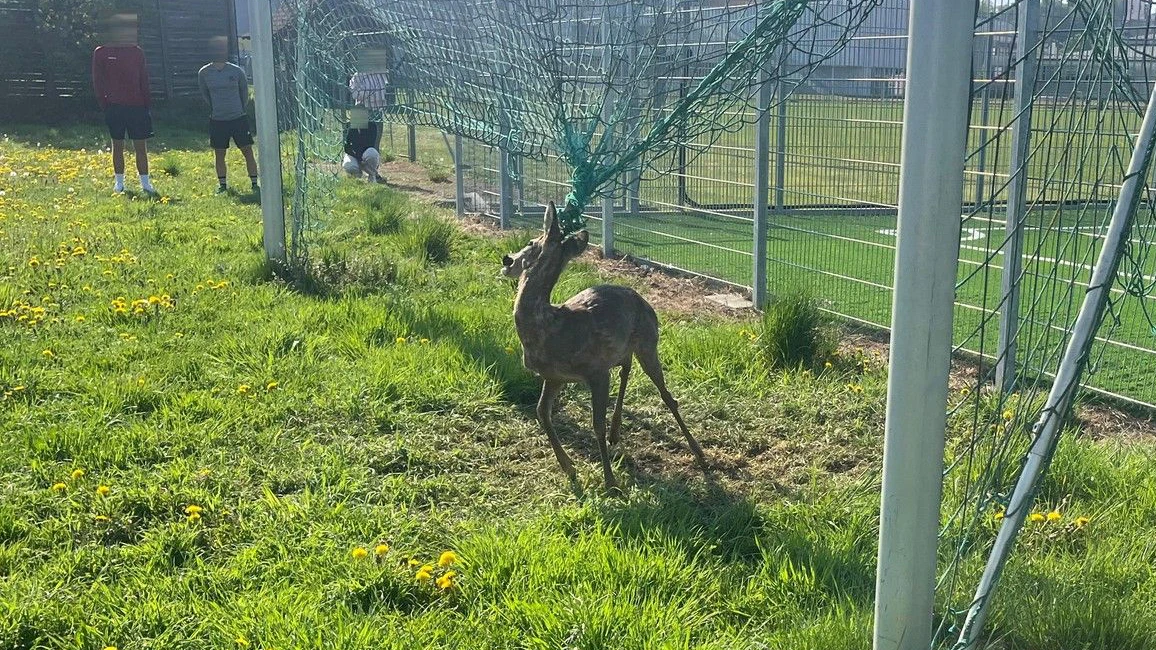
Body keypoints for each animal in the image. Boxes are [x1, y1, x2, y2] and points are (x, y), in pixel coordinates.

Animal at [500, 201, 707, 490]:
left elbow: (595, 423)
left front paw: (610, 482)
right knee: (626, 368)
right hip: (622, 351)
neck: (550, 327)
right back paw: (615, 432)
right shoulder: (554, 376)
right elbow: (542, 412)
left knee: (667, 395)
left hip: (648, 341)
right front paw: (569, 467)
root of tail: (644, 301)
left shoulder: (595, 370)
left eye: (531, 242)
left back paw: (699, 453)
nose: (507, 260)